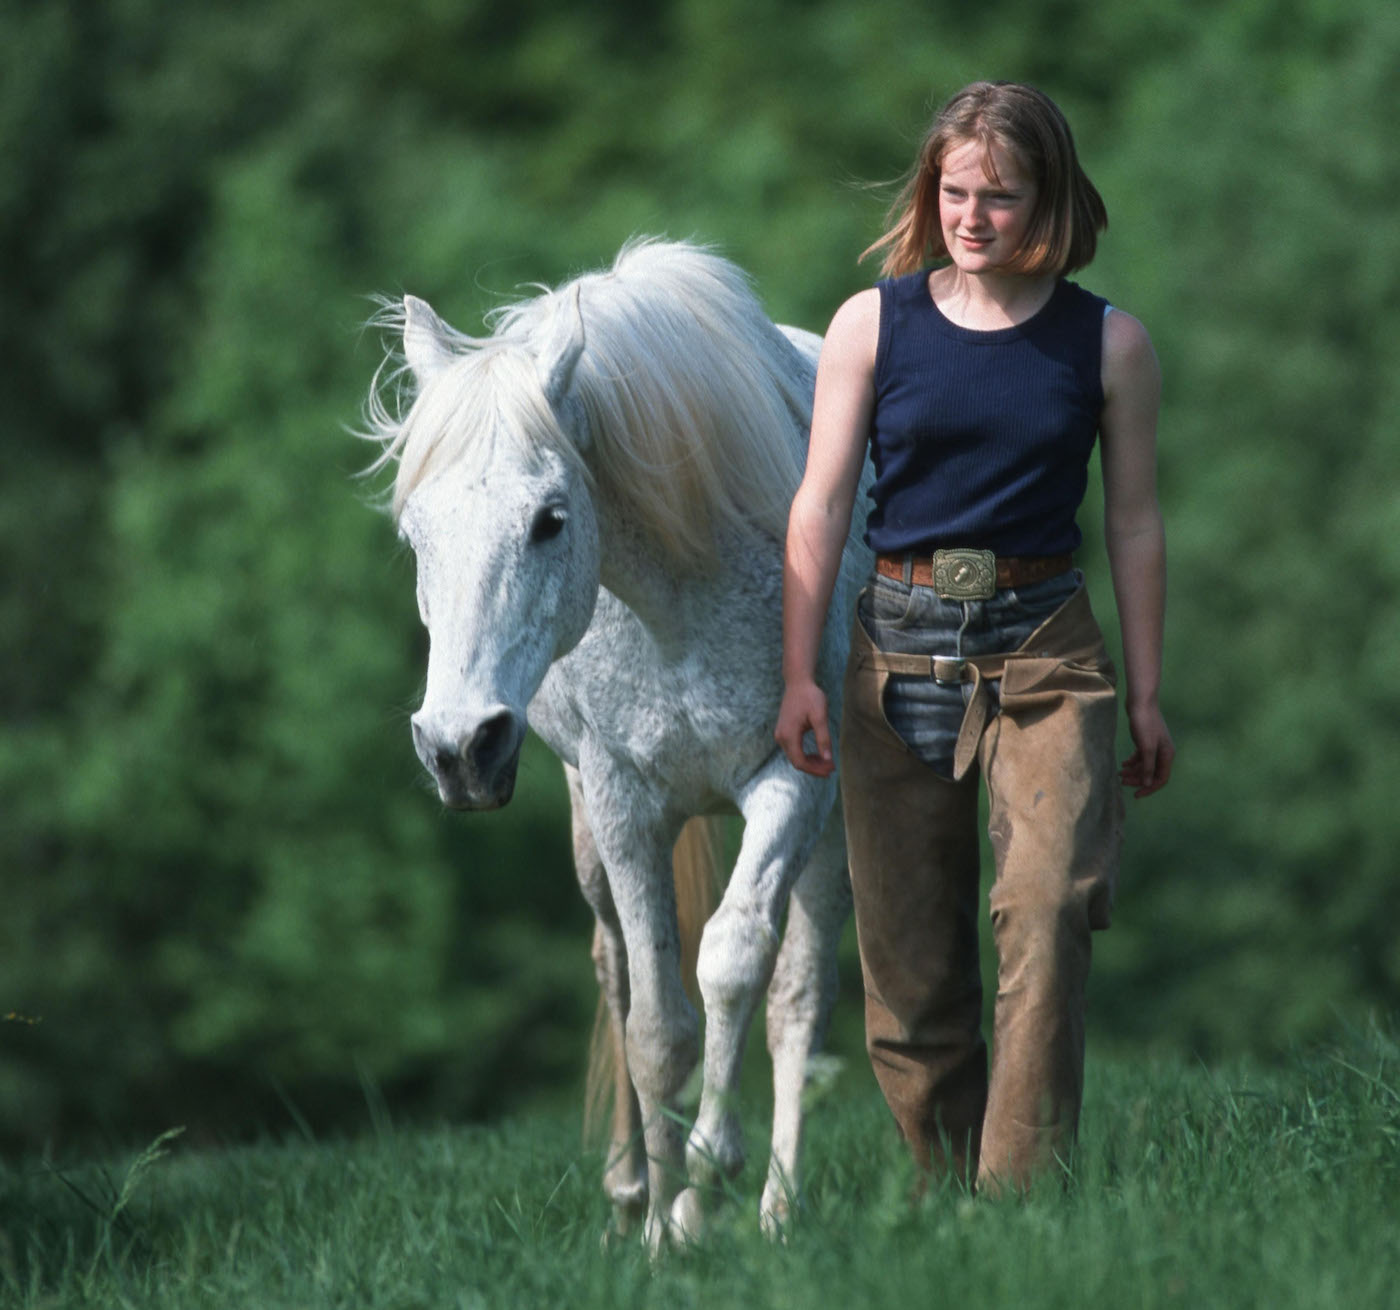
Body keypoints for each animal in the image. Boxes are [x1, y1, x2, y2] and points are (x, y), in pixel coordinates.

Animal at [364, 239, 872, 1247]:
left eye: (550, 518)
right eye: (414, 534)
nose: (458, 748)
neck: (682, 596)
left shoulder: (793, 782)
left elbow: (735, 963)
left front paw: (712, 1178)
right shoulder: (622, 800)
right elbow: (655, 1029)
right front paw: (666, 1225)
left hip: (828, 825)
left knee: (799, 990)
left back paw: (775, 1207)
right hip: (590, 826)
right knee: (616, 968)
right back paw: (635, 1185)